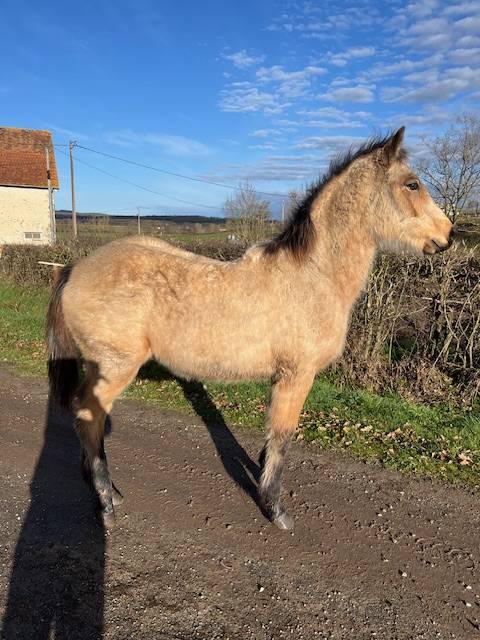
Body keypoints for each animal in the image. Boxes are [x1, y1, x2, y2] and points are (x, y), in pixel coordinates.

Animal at [47, 127, 453, 529]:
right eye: (412, 184)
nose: (448, 235)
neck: (313, 275)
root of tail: (75, 269)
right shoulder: (297, 375)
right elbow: (283, 436)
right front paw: (274, 507)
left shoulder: (282, 379)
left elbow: (271, 436)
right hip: (115, 366)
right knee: (88, 416)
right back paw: (105, 501)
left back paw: (108, 491)